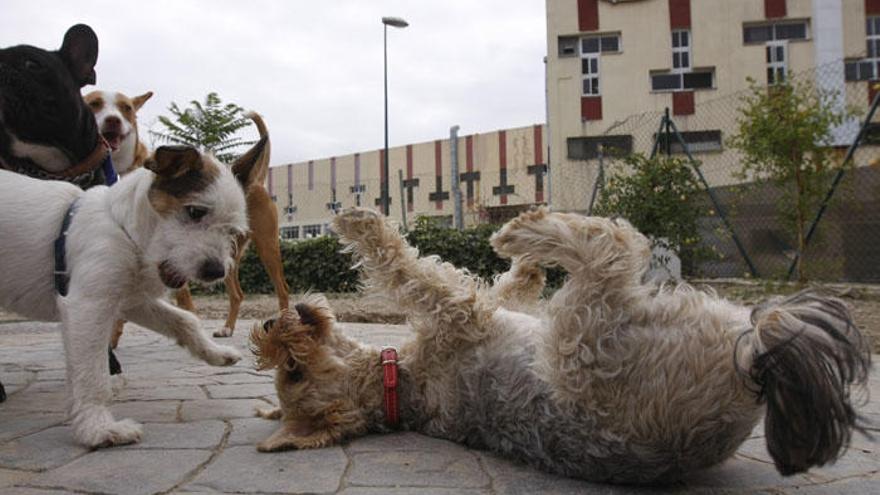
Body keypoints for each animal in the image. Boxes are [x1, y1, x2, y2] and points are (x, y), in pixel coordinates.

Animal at [0, 134, 266, 448]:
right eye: (195, 211)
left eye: (232, 232)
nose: (215, 271)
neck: (124, 230)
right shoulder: (87, 306)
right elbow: (92, 376)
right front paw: (97, 428)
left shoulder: (132, 300)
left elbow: (185, 320)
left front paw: (214, 352)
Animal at [251, 206, 868, 484]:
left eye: (291, 371)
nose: (268, 326)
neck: (397, 384)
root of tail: (753, 360)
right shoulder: (461, 313)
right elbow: (404, 267)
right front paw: (360, 223)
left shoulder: (483, 309)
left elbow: (502, 287)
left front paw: (525, 270)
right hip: (584, 327)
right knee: (615, 246)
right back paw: (524, 229)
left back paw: (526, 241)